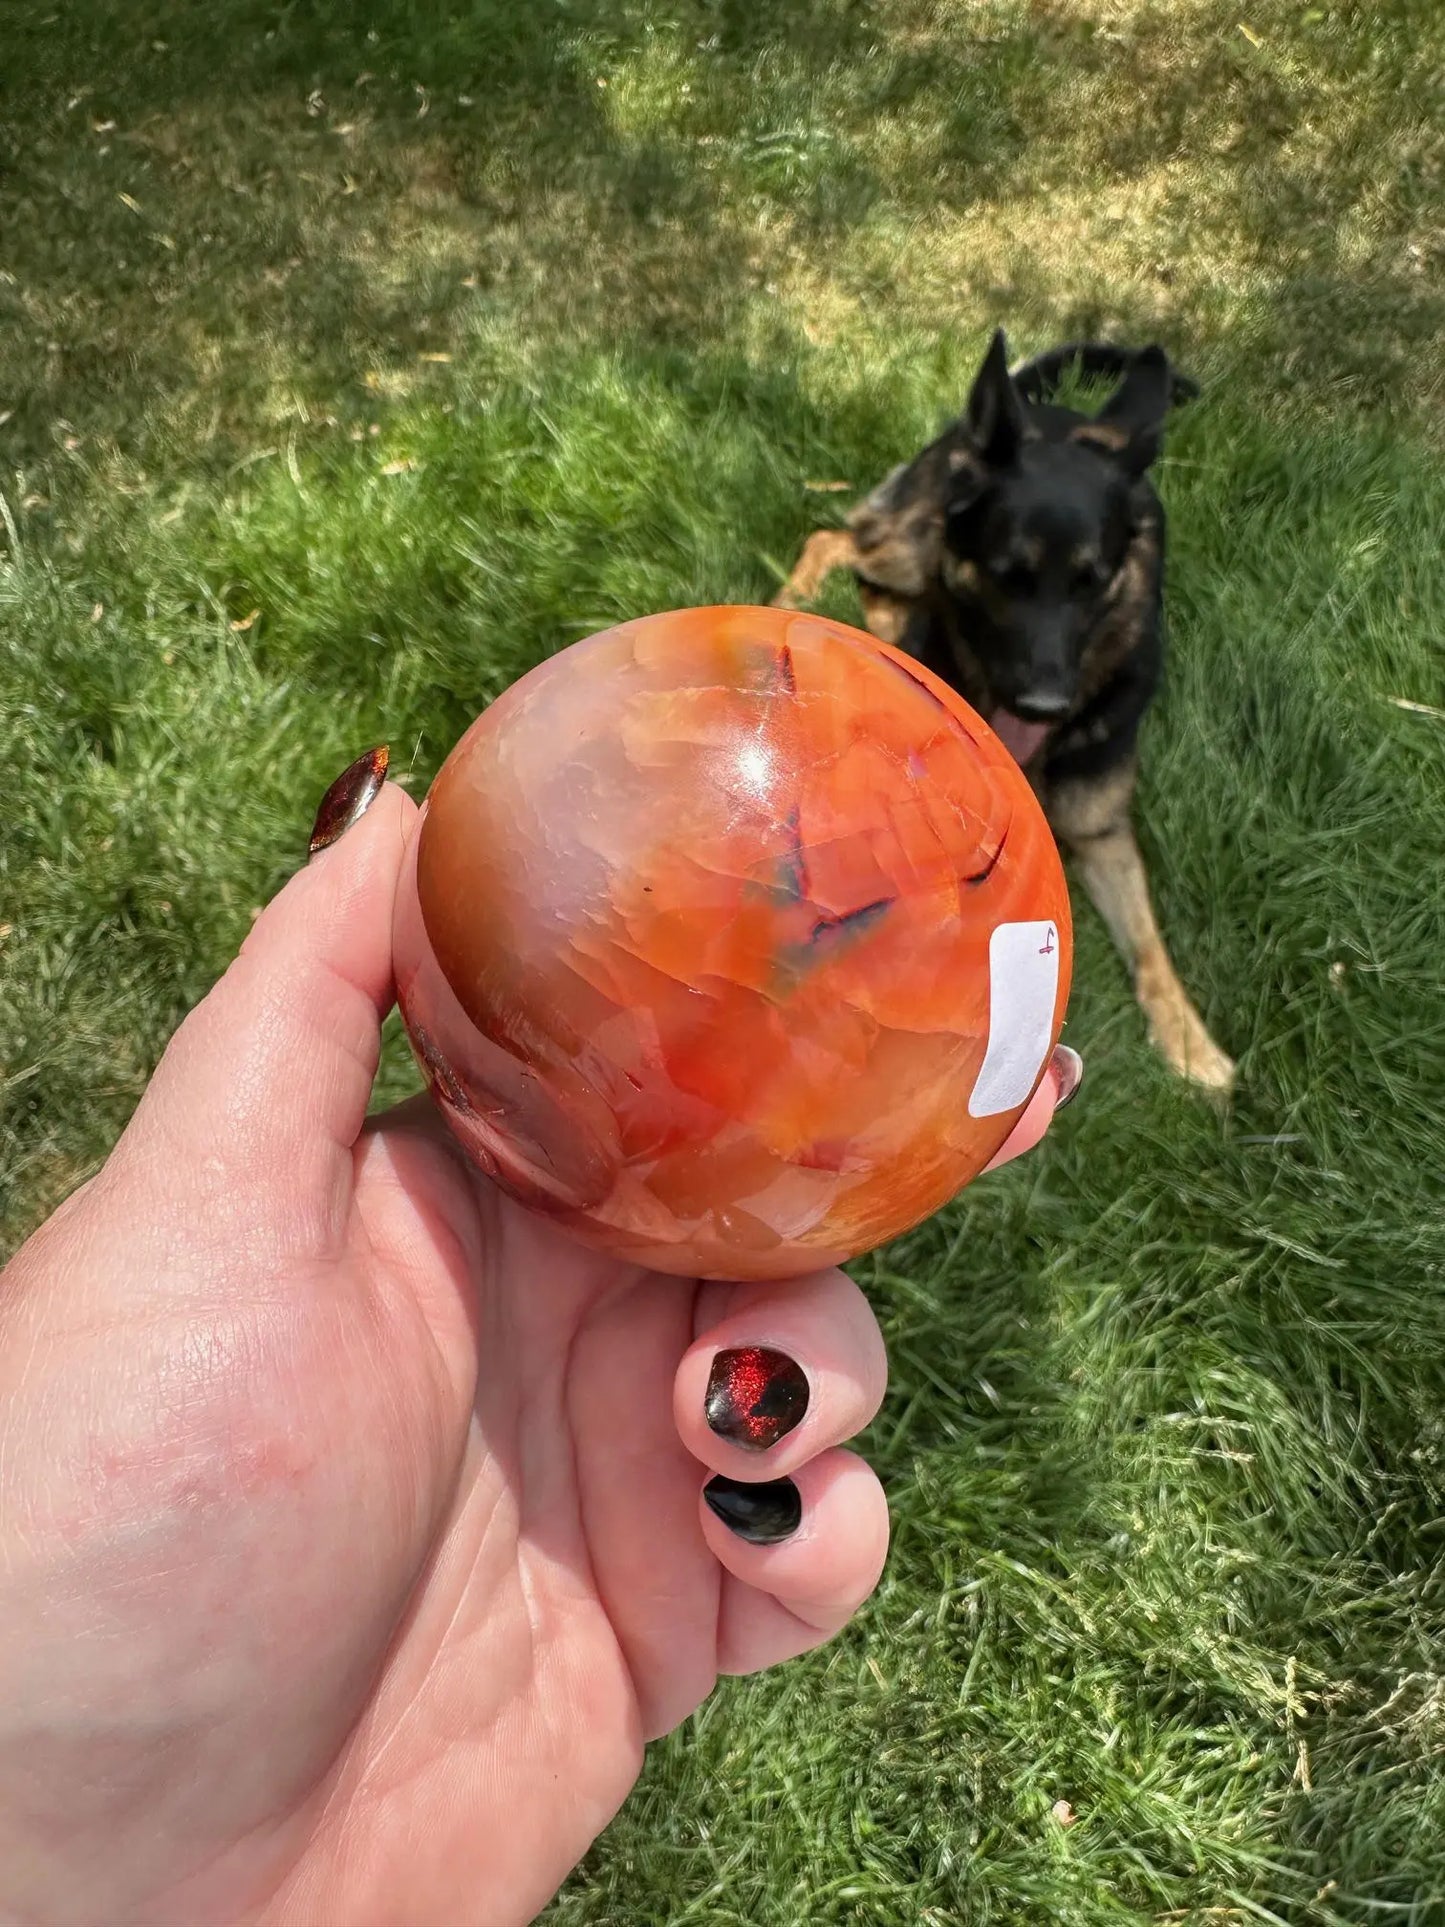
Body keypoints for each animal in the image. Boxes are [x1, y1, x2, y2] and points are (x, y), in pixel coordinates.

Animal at [774, 323, 1240, 1094]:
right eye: (1006, 575)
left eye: (1091, 582)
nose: (1043, 705)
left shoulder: (1103, 832)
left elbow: (1150, 948)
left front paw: (1189, 1040)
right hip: (912, 542)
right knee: (834, 540)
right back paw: (798, 599)